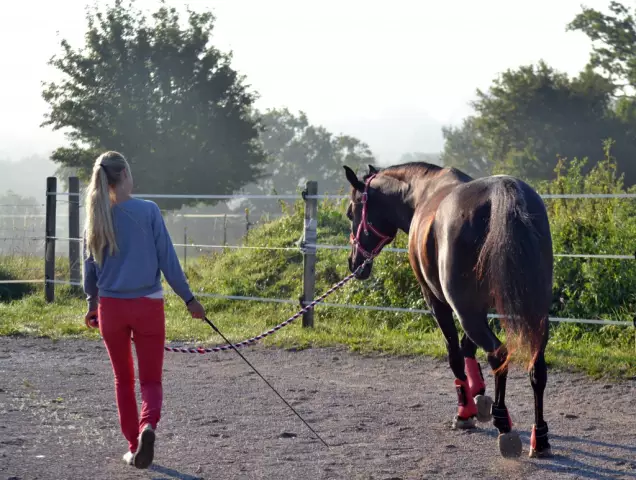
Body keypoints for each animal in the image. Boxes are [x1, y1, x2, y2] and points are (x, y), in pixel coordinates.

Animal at [340, 161, 556, 458]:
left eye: (351, 212)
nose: (354, 263)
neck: (422, 193)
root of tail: (503, 194)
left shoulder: (438, 301)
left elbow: (454, 353)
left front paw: (465, 411)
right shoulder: (481, 307)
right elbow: (467, 347)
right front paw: (478, 392)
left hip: (466, 311)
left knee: (499, 355)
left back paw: (503, 424)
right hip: (532, 311)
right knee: (536, 366)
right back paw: (540, 438)